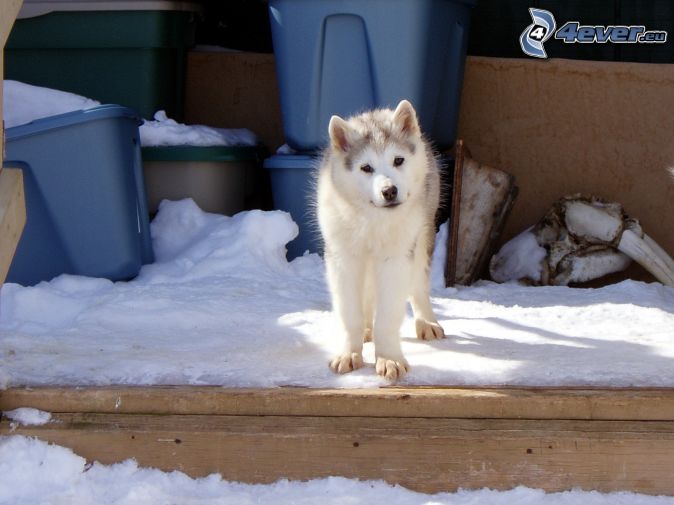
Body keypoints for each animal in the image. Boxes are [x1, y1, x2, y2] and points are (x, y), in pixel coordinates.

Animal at [316, 100, 444, 380]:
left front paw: (389, 358)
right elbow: (349, 313)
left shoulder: (395, 259)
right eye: (366, 168)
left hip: (422, 237)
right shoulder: (343, 258)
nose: (389, 191)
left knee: (418, 286)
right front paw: (348, 353)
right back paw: (366, 329)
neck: (373, 219)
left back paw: (427, 322)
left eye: (398, 160)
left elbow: (387, 317)